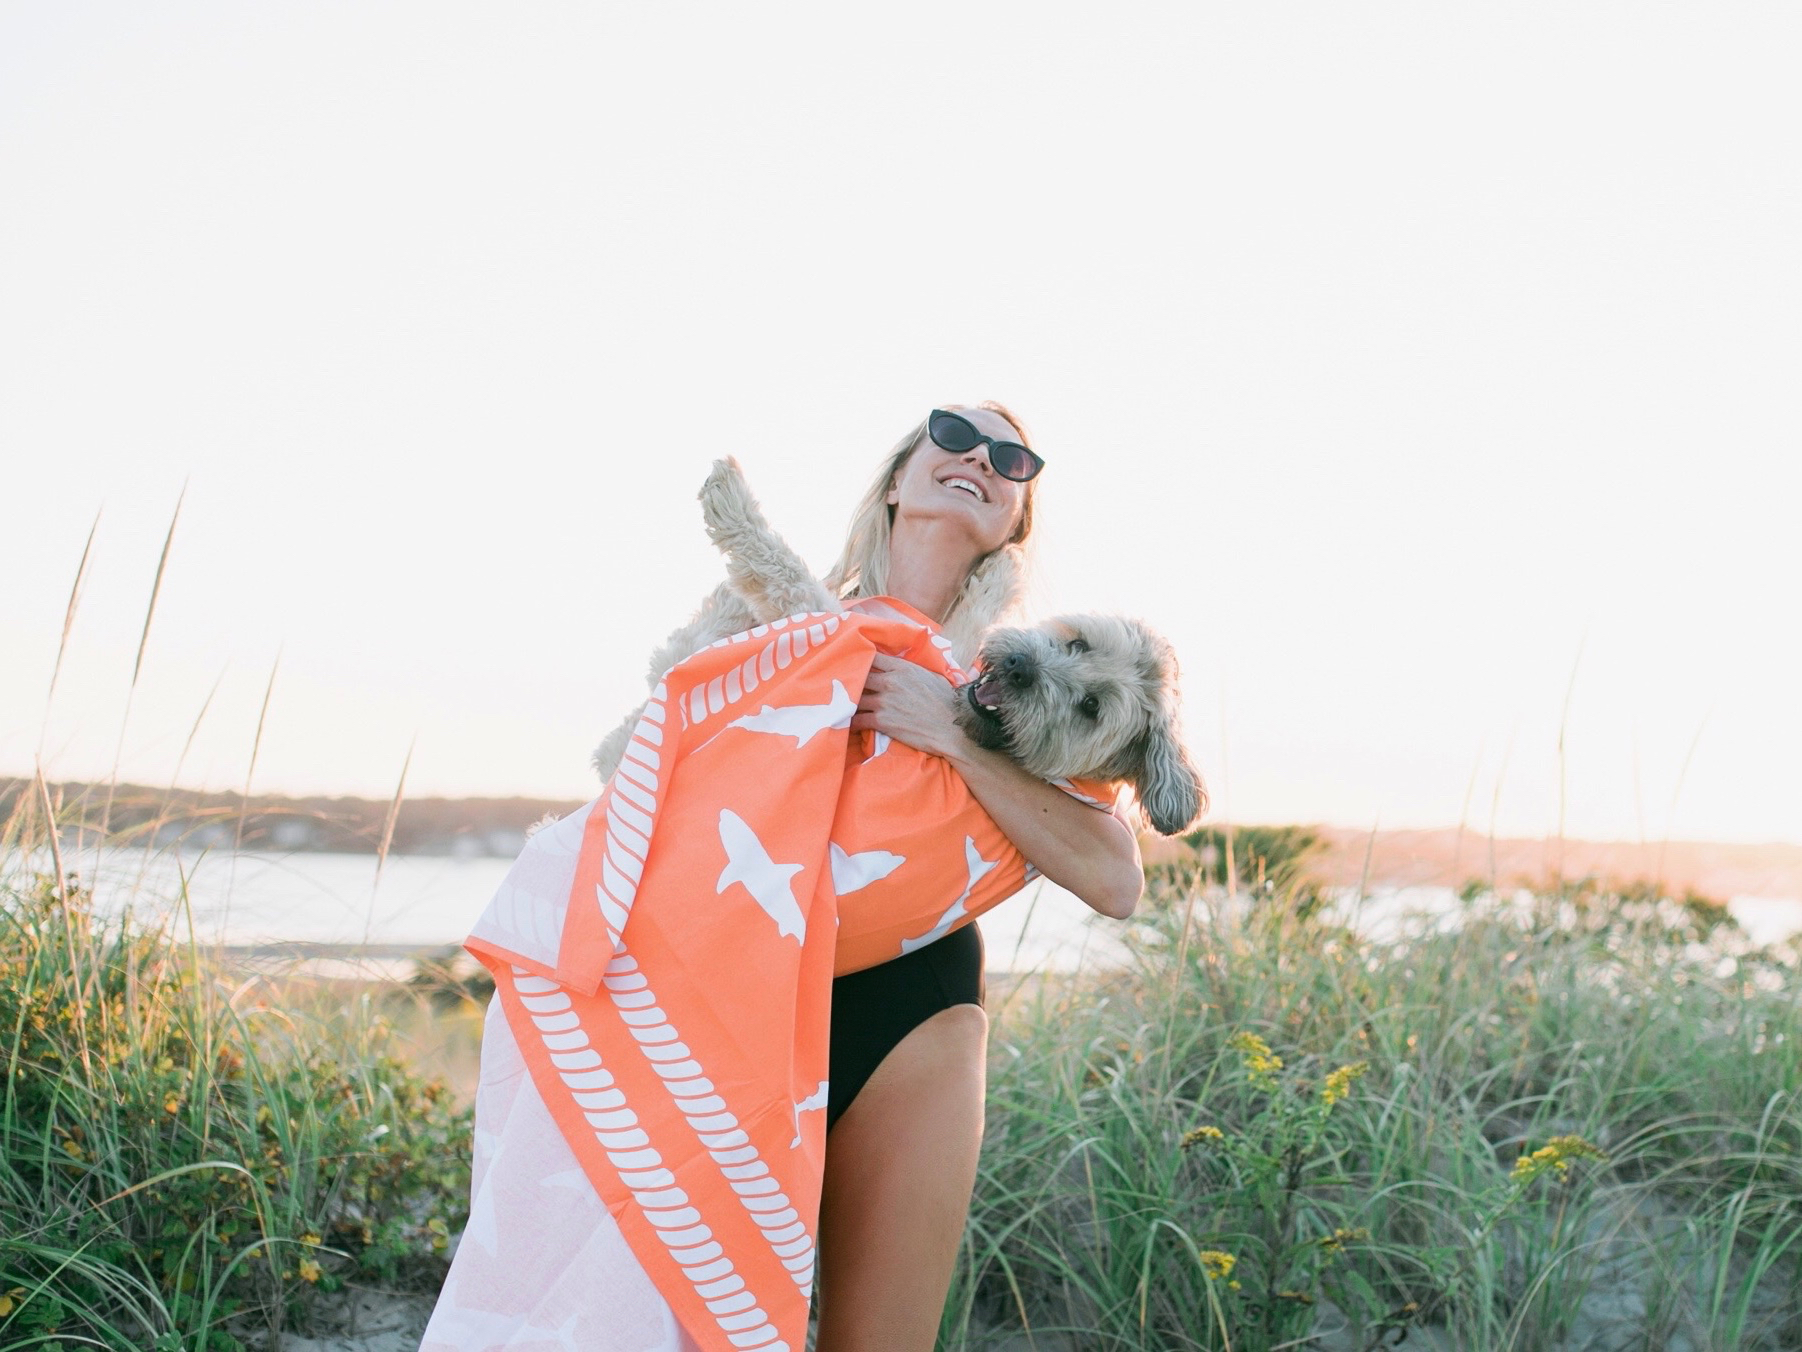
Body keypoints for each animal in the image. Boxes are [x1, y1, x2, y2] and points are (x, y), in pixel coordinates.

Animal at [593, 458, 1206, 836]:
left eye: (1091, 708)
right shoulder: (938, 644)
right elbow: (964, 622)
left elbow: (794, 580)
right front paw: (1003, 570)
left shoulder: (849, 642)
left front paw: (732, 503)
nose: (1018, 667)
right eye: (1078, 643)